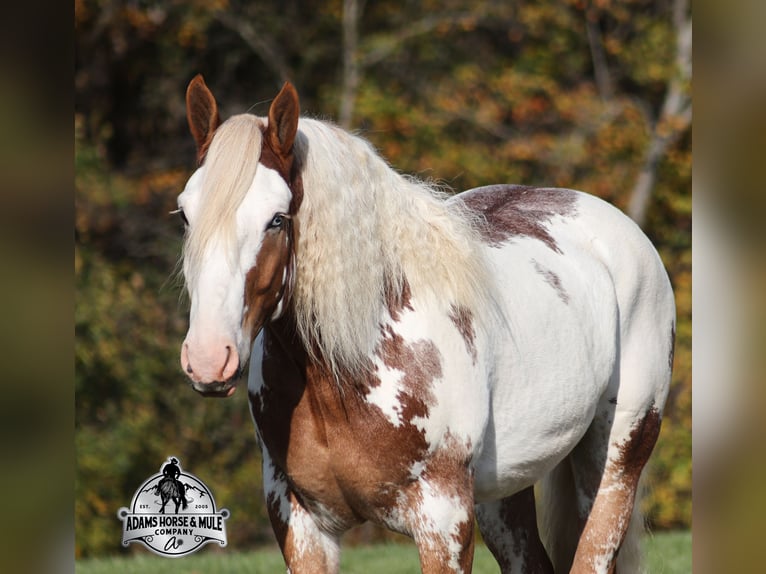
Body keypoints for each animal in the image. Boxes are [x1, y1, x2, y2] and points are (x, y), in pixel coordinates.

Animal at [176, 74, 675, 574]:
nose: (208, 358)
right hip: (502, 491)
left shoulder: (443, 519)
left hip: (615, 463)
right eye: (185, 215)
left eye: (277, 219)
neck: (346, 375)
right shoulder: (298, 521)